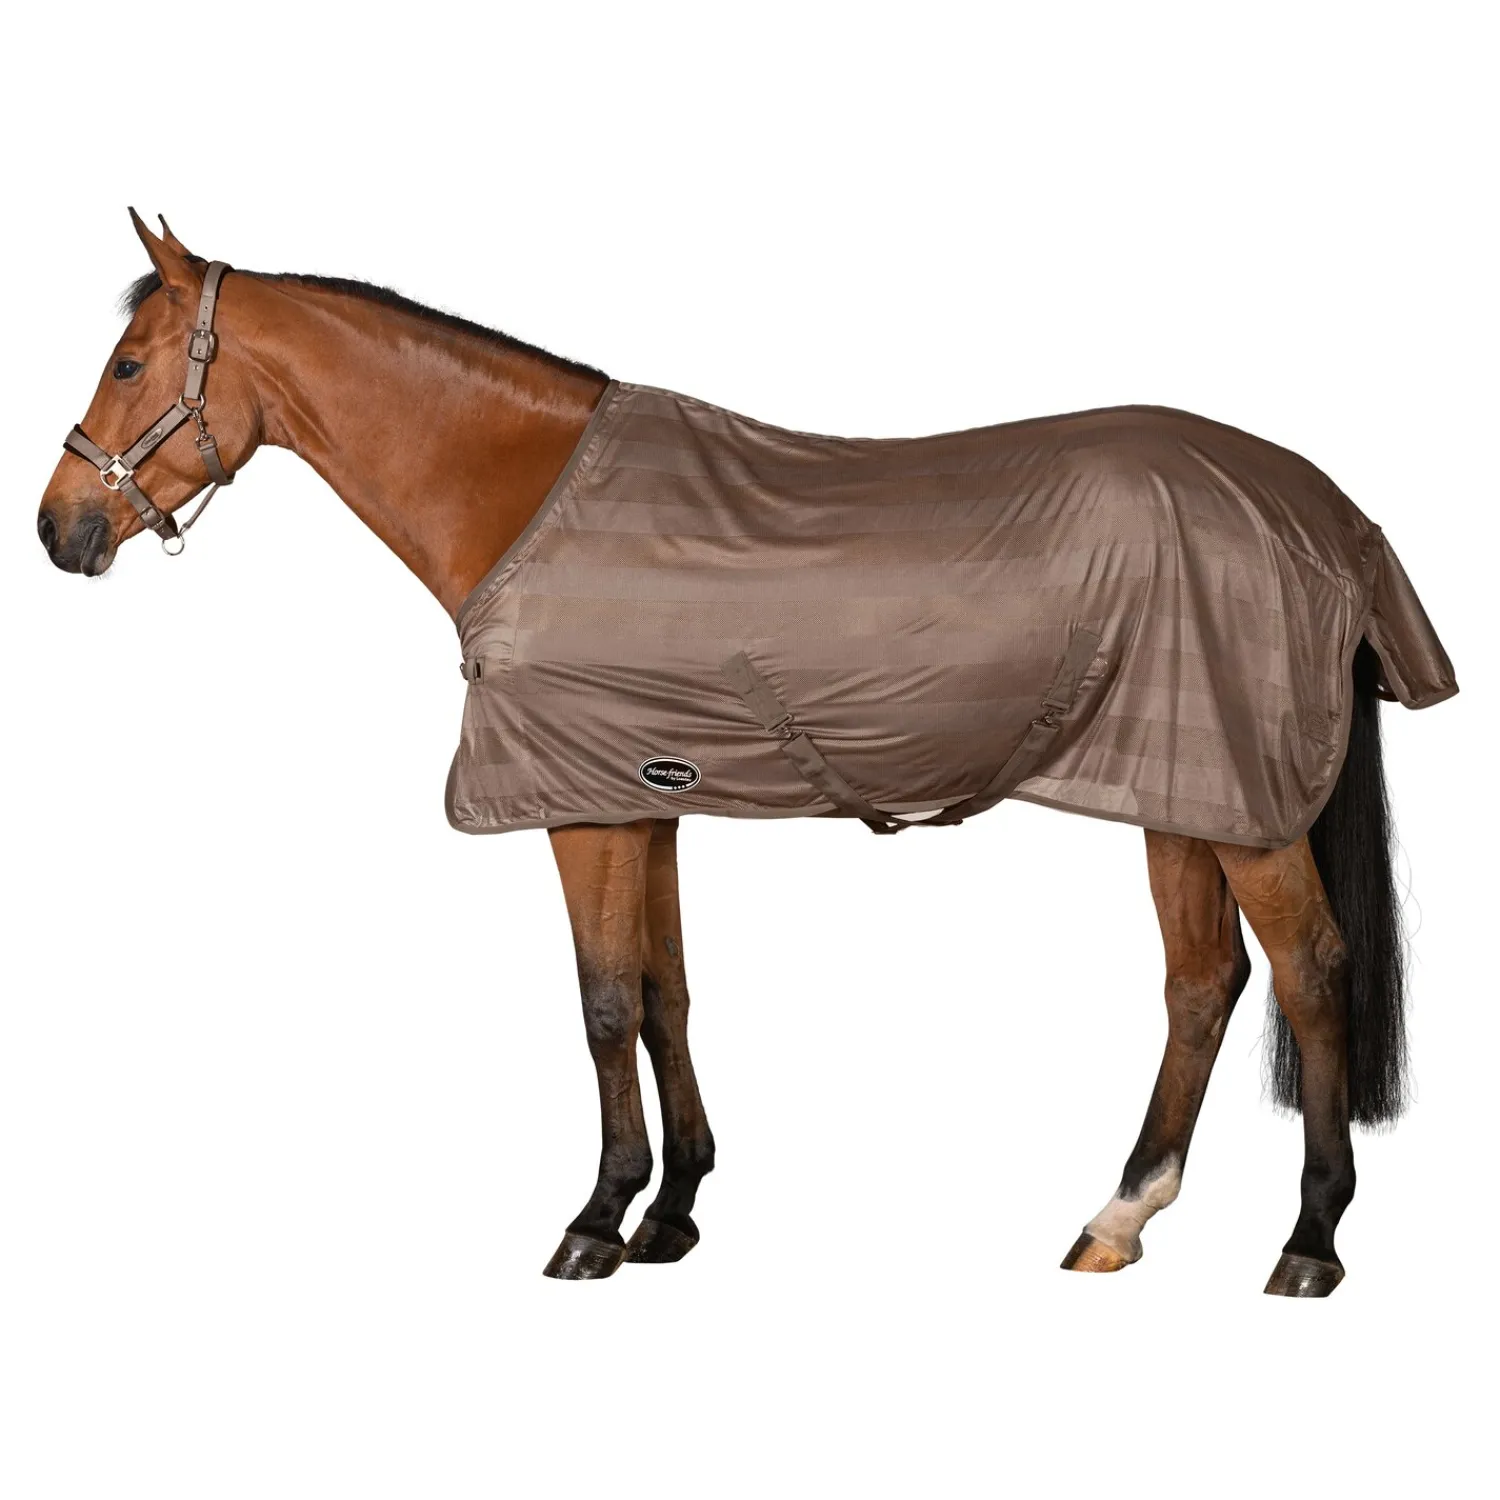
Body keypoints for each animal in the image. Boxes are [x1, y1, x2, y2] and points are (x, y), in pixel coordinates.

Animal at [37, 212, 1457, 1296]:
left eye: (127, 364)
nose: (60, 530)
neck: (528, 498)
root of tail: (1325, 512)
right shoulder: (645, 798)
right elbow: (666, 992)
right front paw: (672, 1213)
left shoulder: (585, 810)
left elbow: (604, 1003)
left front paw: (594, 1222)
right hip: (1181, 791)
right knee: (1203, 984)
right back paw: (1117, 1219)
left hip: (1245, 804)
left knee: (1312, 974)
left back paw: (1309, 1242)